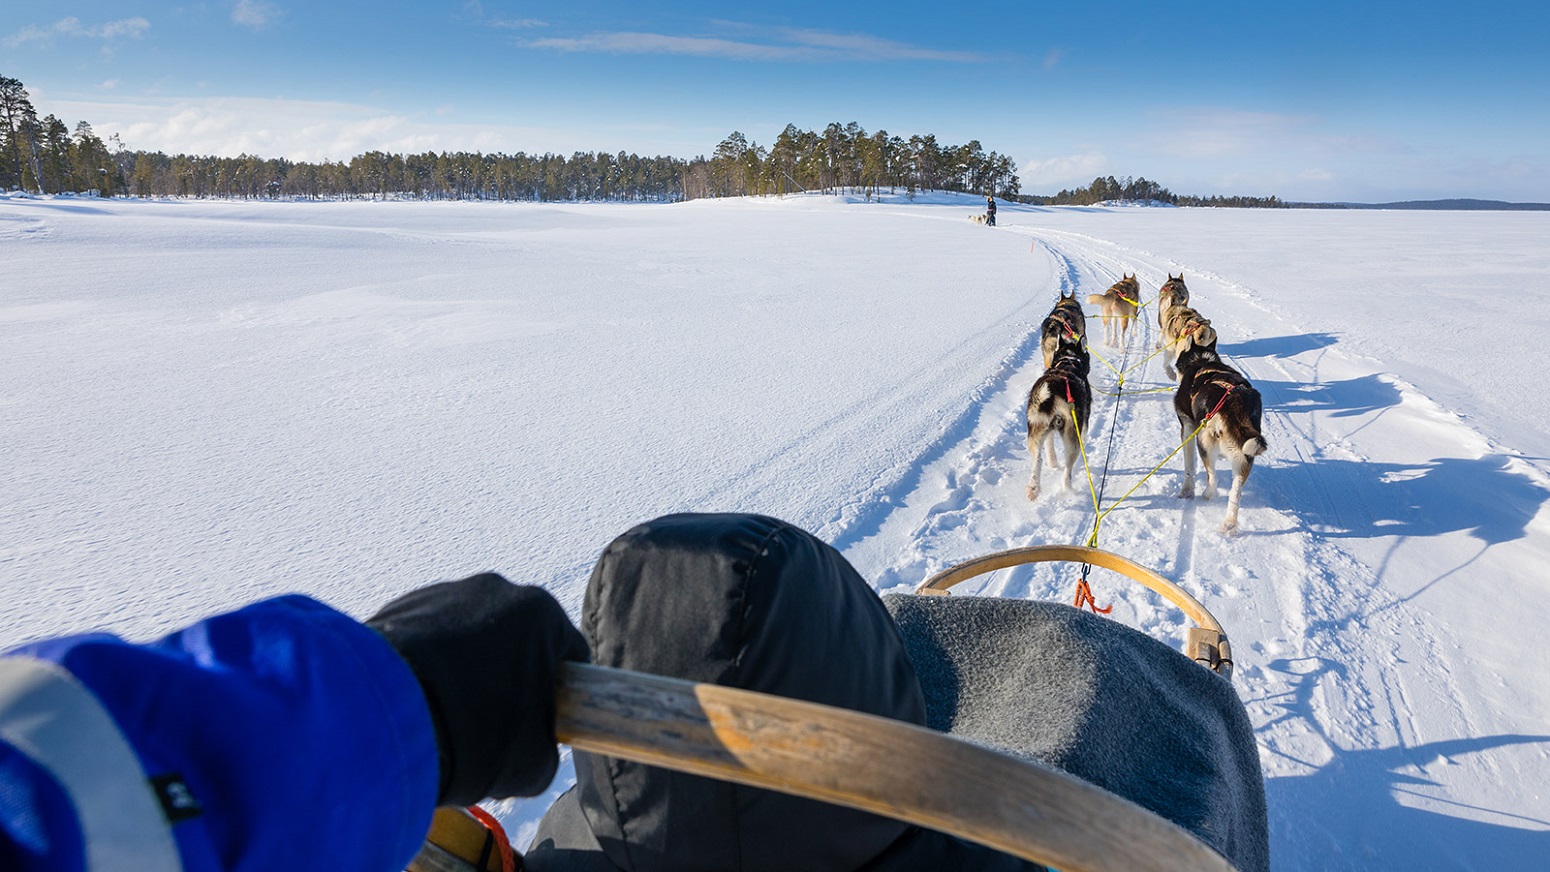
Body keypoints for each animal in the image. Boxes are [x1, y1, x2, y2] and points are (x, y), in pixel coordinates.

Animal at [1022, 345, 1097, 501]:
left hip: (1036, 431)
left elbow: (1049, 447)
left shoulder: (1048, 431)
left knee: (1038, 459)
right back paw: (1068, 488)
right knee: (1068, 468)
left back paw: (1033, 488)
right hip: (1073, 436)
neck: (1068, 361)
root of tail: (1053, 388)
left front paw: (1053, 463)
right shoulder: (1083, 427)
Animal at [1171, 331, 1271, 532]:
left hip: (1204, 443)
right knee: (1235, 493)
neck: (1202, 361)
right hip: (1245, 456)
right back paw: (1229, 525)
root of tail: (1235, 398)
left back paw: (1207, 495)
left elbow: (1189, 466)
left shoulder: (1187, 427)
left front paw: (1187, 491)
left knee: (1213, 479)